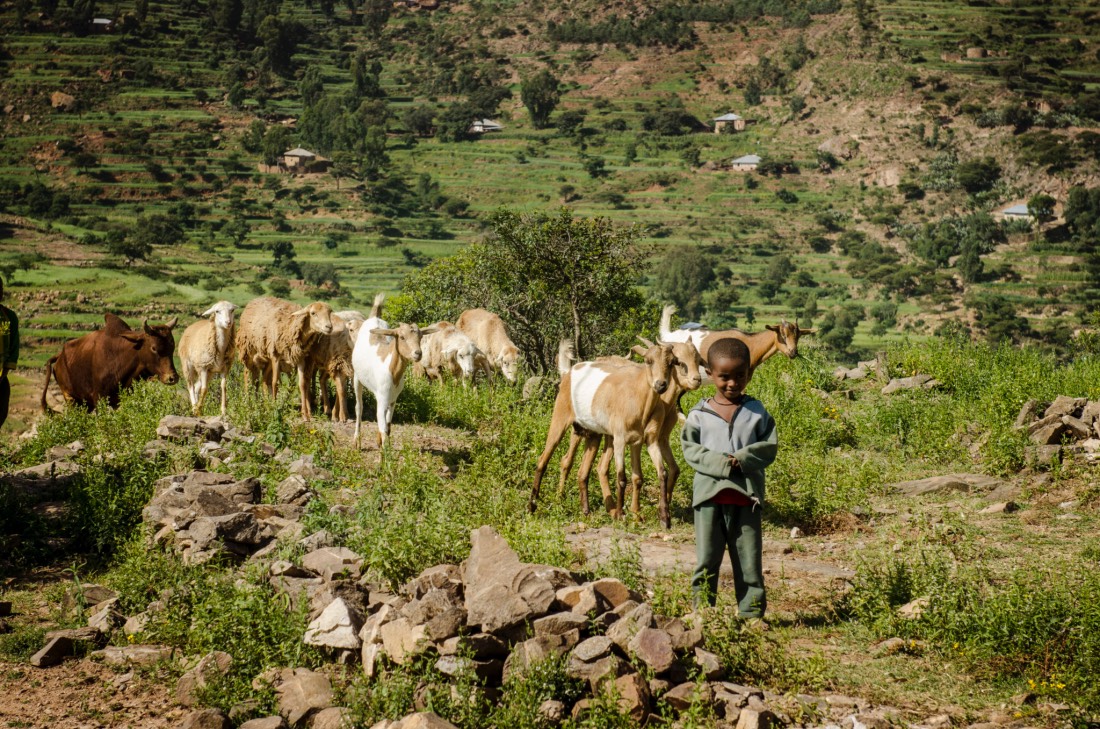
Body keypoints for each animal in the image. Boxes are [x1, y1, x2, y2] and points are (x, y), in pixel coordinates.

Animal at [42, 314, 179, 413]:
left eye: (172, 347)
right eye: (154, 348)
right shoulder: (99, 400)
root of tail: (59, 356)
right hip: (71, 398)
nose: (172, 378)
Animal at [352, 294, 437, 448]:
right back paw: (357, 441)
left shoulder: (393, 399)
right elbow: (383, 427)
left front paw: (382, 441)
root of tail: (375, 317)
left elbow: (388, 425)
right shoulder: (382, 398)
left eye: (420, 336)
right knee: (359, 407)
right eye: (402, 337)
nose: (418, 353)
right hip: (357, 377)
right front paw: (386, 450)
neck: (392, 371)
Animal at [525, 340, 673, 518]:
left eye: (672, 362)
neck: (639, 399)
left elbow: (646, 475)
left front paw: (645, 515)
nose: (661, 384)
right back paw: (532, 506)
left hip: (591, 434)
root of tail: (569, 372)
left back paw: (585, 510)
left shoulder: (644, 440)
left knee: (582, 471)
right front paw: (621, 514)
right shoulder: (619, 438)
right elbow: (621, 477)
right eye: (648, 361)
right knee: (543, 459)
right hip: (560, 418)